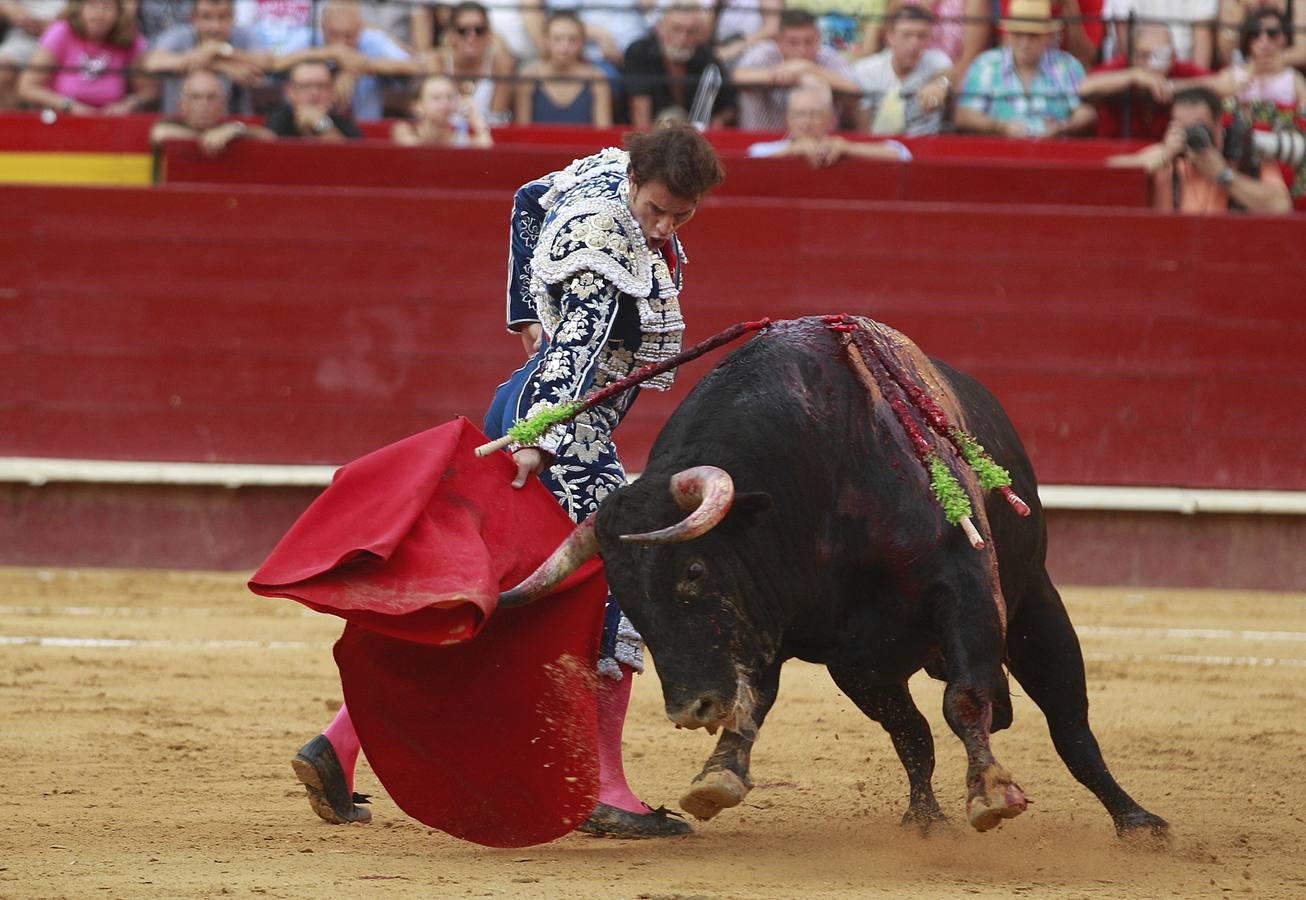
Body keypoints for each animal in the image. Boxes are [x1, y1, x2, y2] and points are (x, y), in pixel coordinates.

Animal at [501, 316, 1175, 835]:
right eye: (625, 596)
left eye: (693, 569)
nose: (692, 708)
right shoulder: (780, 622)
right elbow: (756, 698)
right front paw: (716, 778)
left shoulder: (965, 591)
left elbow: (967, 698)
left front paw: (990, 793)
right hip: (866, 671)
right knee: (913, 736)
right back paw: (924, 822)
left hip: (1036, 606)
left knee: (1070, 725)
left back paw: (1137, 822)